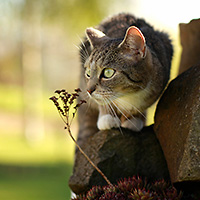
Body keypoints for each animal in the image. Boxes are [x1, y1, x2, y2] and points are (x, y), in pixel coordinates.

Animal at [77, 13, 173, 145]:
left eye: (108, 72)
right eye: (88, 73)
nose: (89, 90)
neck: (129, 94)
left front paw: (133, 118)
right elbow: (103, 102)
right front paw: (107, 117)